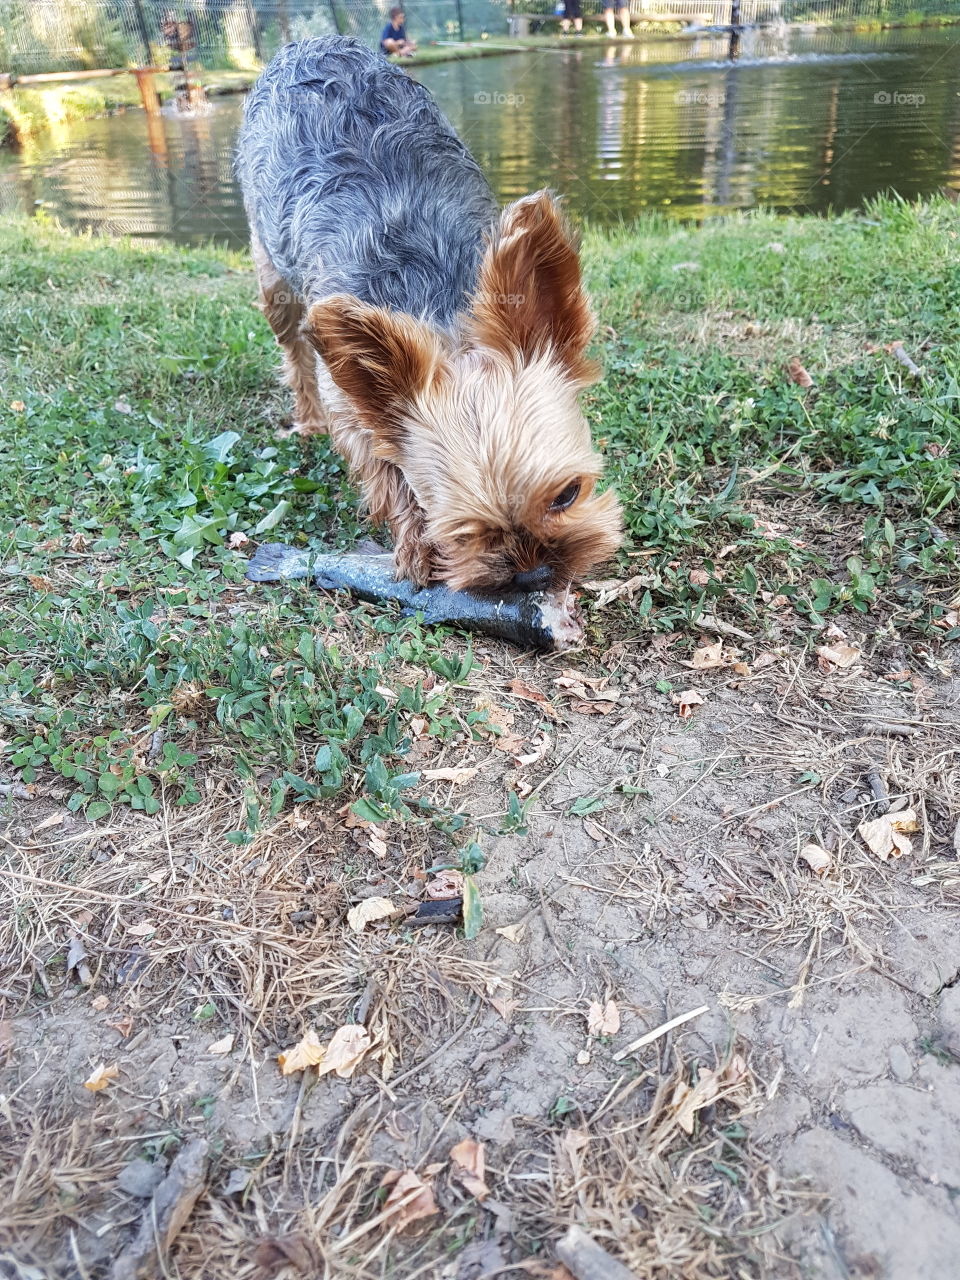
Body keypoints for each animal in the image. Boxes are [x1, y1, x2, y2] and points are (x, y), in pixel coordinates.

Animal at [236, 37, 619, 591]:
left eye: (568, 494)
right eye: (460, 533)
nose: (533, 575)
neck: (440, 316)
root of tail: (306, 44)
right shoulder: (347, 400)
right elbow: (380, 462)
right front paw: (414, 543)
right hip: (272, 275)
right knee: (295, 351)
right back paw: (307, 419)